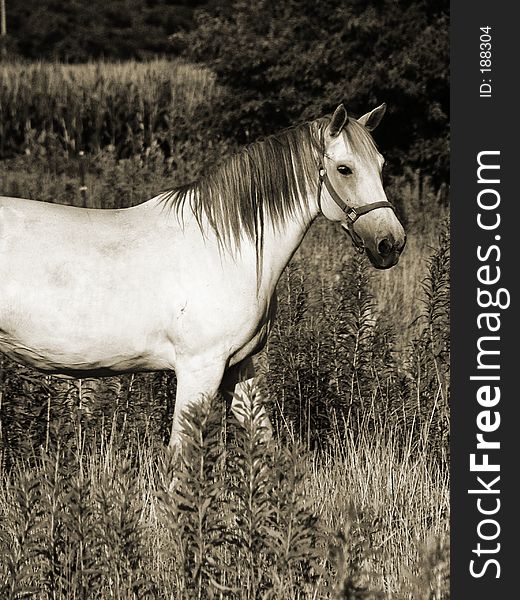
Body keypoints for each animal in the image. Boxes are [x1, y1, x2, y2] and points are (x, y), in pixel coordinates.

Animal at [0, 103, 406, 448]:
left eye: (381, 165)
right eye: (344, 169)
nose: (391, 243)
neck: (227, 248)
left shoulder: (238, 367)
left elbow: (264, 442)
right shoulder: (200, 369)